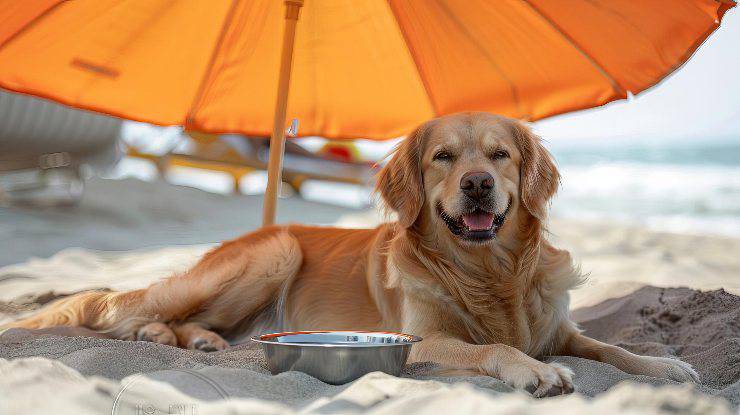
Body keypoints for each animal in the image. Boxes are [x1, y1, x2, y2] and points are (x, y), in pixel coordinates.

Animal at [4, 113, 700, 396]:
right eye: (444, 157)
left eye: (500, 155)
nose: (478, 184)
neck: (488, 271)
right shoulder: (422, 339)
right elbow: (490, 349)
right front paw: (534, 373)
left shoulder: (561, 330)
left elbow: (611, 347)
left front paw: (665, 366)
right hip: (274, 253)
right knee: (127, 311)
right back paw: (167, 332)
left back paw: (200, 341)